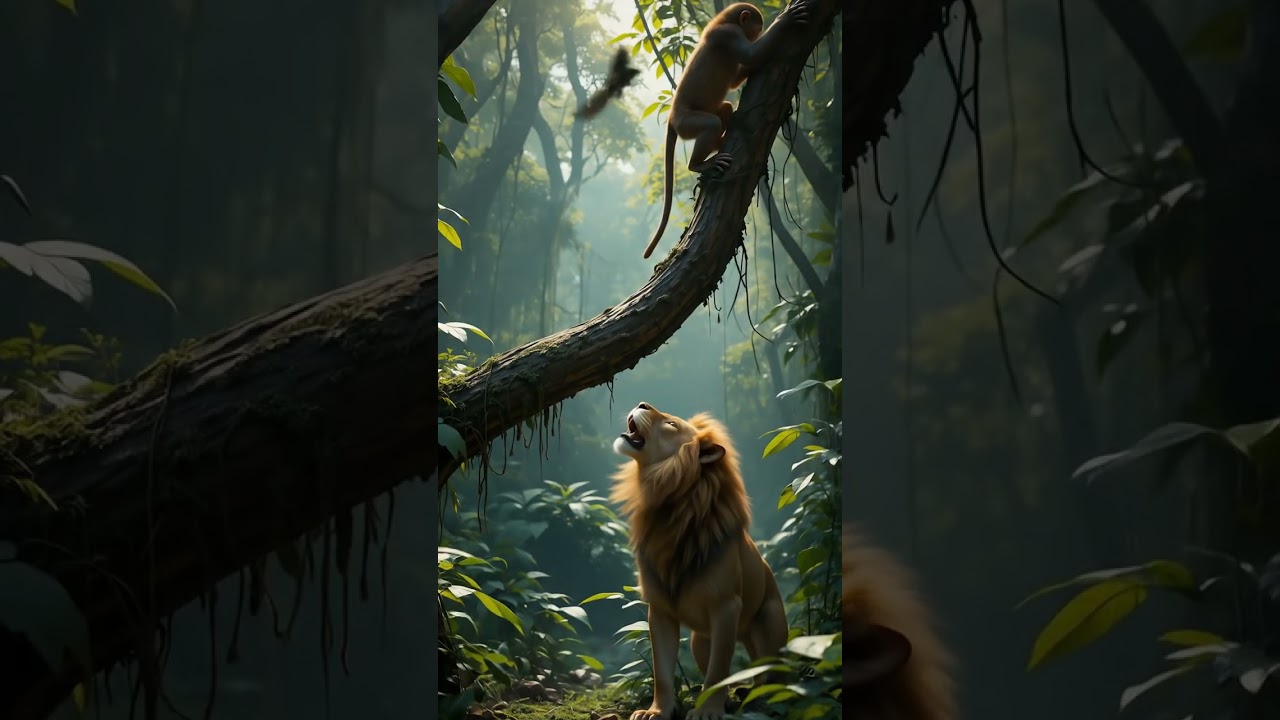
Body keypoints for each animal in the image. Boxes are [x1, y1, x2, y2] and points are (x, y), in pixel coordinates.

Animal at [610, 403, 788, 720]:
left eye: (670, 424)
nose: (642, 404)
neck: (668, 505)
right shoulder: (660, 609)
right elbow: (662, 672)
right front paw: (656, 711)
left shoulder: (727, 605)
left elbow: (718, 671)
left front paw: (707, 711)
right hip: (699, 641)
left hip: (770, 632)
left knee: (771, 676)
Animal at [642, 1, 811, 260]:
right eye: (756, 28)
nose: (757, 33)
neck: (722, 21)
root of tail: (672, 118)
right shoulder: (729, 34)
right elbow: (750, 54)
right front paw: (785, 19)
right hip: (686, 123)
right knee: (710, 124)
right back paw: (699, 163)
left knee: (724, 109)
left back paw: (724, 136)